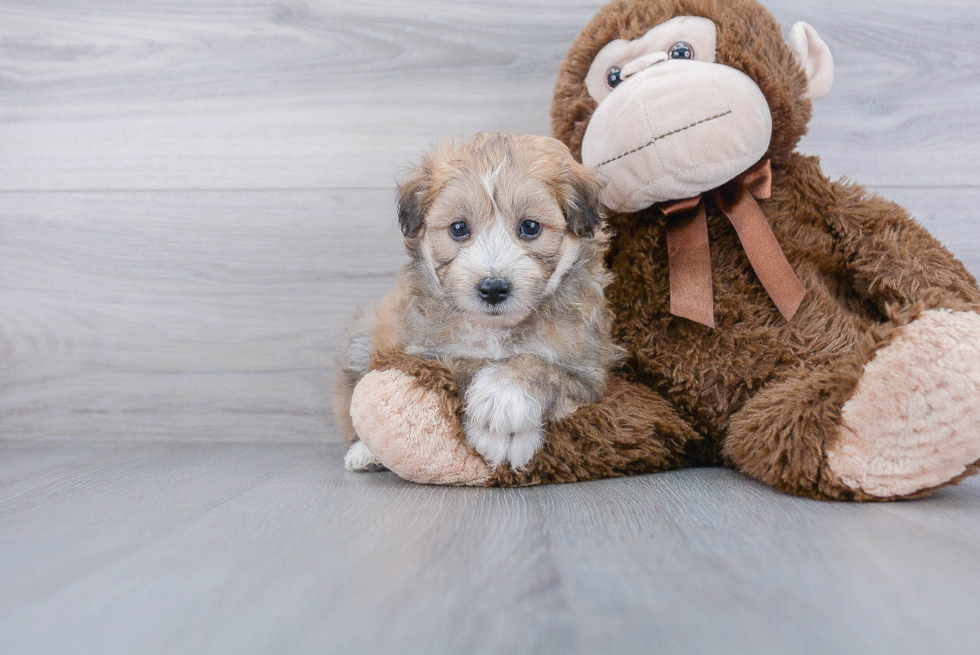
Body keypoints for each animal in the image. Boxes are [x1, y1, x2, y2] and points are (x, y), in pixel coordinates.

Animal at [334, 132, 624, 472]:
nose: (493, 288)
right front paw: (496, 421)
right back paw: (364, 452)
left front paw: (506, 394)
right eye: (459, 228)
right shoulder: (426, 352)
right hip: (362, 339)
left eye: (530, 227)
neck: (496, 330)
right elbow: (462, 365)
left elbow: (544, 367)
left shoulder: (587, 374)